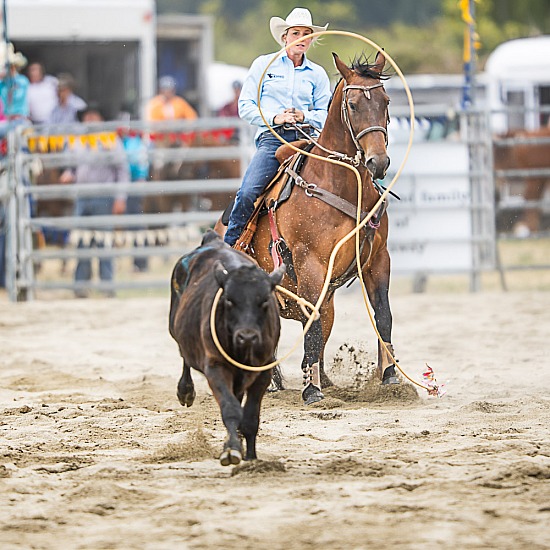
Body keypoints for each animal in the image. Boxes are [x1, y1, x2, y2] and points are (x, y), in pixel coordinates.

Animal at [215, 51, 396, 406]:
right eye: (352, 104)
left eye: (385, 100)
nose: (378, 162)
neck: (340, 185)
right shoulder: (310, 262)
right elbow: (311, 328)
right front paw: (311, 392)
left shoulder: (378, 259)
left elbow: (382, 315)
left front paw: (392, 378)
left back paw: (320, 377)